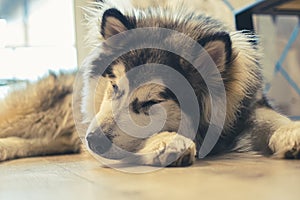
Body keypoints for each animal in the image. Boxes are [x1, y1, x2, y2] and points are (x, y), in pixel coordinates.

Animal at [0, 0, 300, 167]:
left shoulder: (248, 105)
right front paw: (167, 142)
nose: (92, 141)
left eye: (151, 101)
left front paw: (291, 132)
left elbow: (271, 117)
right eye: (115, 87)